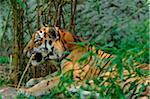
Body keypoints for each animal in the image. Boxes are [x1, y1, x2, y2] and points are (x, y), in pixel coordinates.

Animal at [21, 25, 150, 98]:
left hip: (111, 75)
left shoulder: (67, 75)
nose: (24, 51)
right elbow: (46, 76)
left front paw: (26, 91)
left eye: (37, 40)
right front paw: (31, 81)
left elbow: (46, 82)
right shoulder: (61, 71)